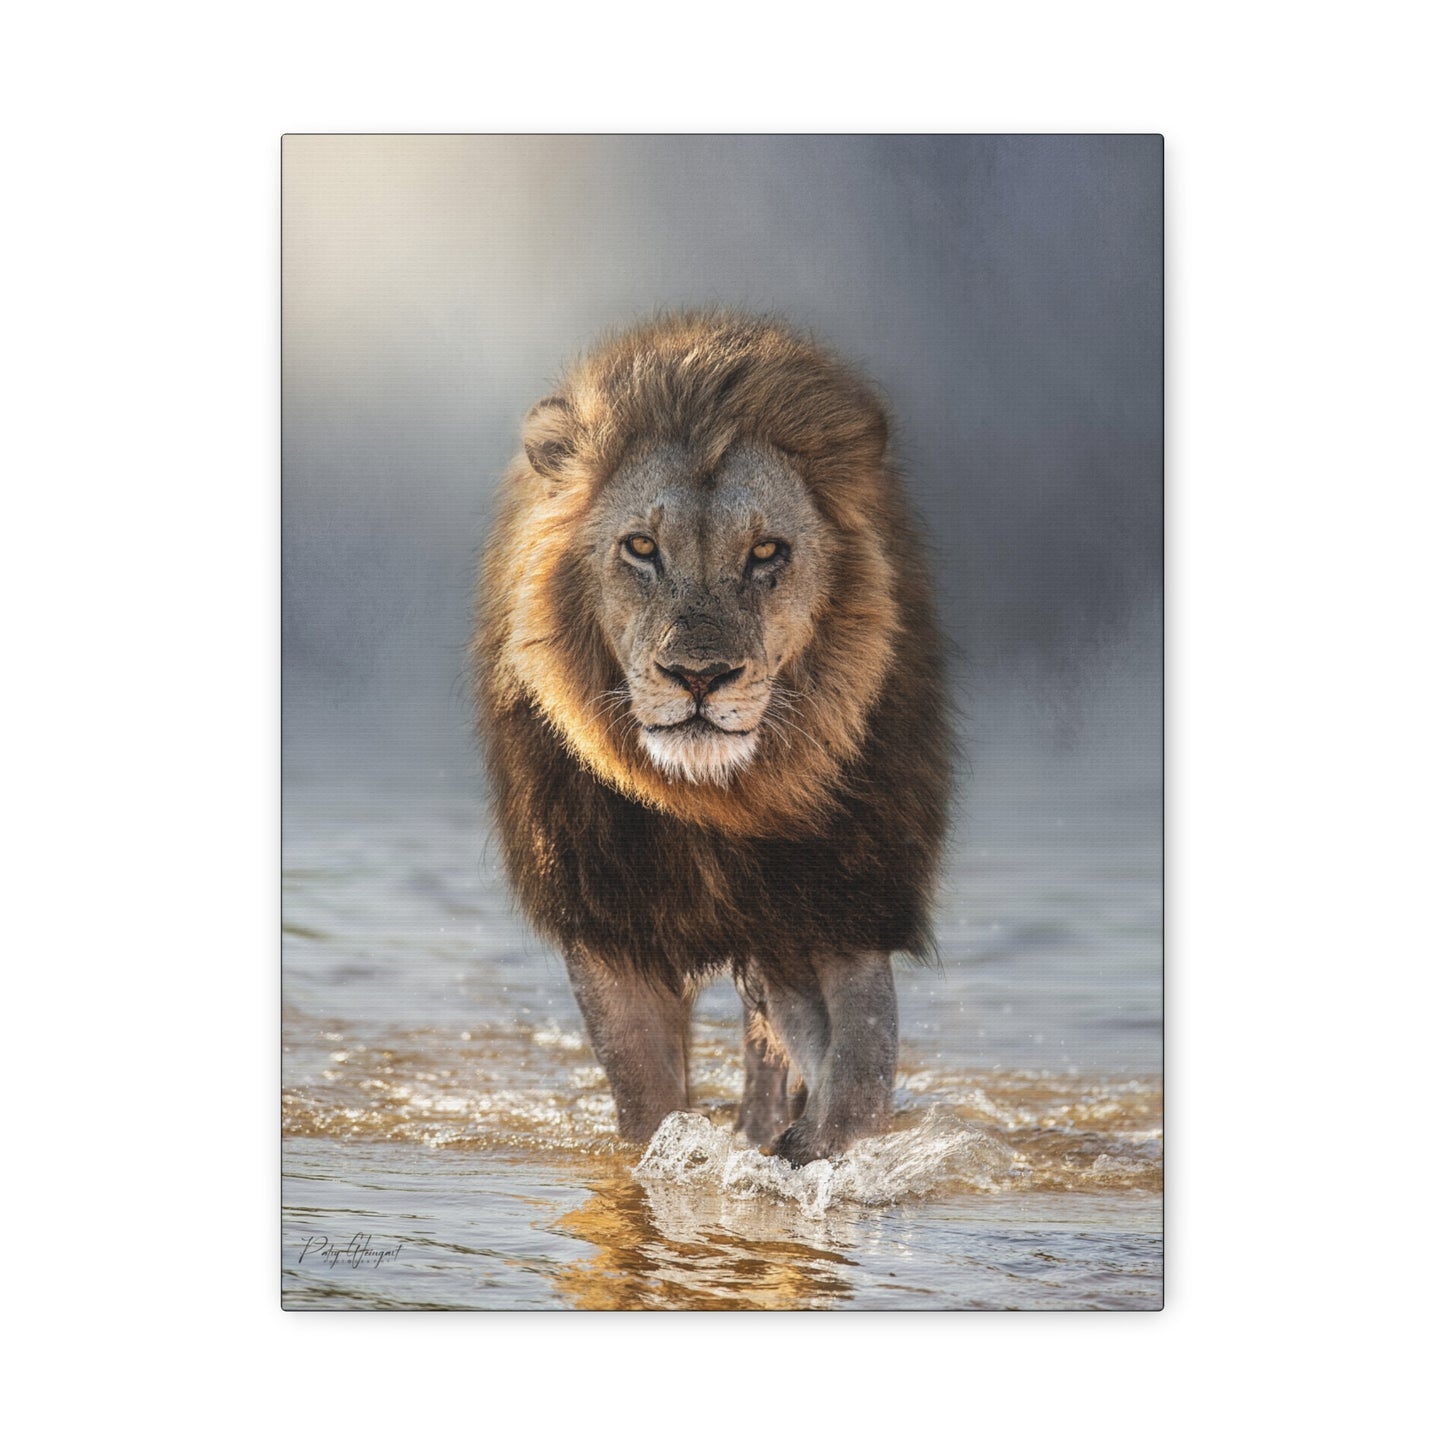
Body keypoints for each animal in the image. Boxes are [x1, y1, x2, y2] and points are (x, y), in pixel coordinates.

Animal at [473, 312, 950, 1166]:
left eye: (765, 552)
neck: (718, 800)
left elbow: (860, 1075)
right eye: (640, 548)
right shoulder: (607, 919)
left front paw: (807, 1152)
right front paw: (671, 1156)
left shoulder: (841, 900)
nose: (699, 675)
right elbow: (648, 1099)